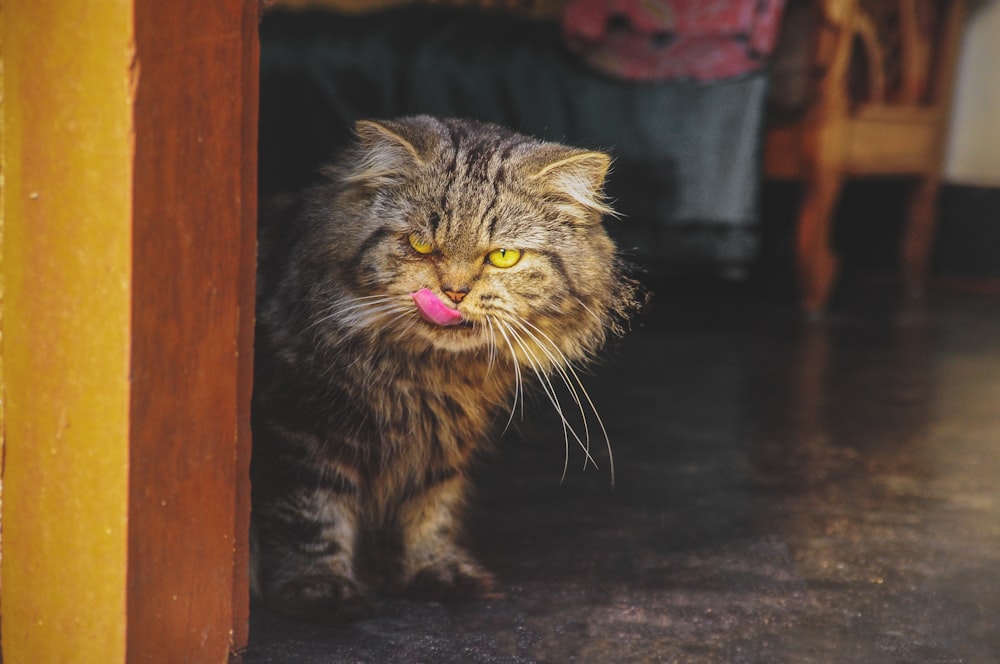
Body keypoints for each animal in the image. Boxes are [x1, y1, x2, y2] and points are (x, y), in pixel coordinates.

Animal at [250, 115, 640, 624]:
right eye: (420, 245)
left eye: (503, 257)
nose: (453, 293)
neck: (428, 374)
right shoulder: (301, 425)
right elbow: (312, 513)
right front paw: (319, 590)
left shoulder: (441, 445)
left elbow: (430, 509)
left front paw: (432, 571)